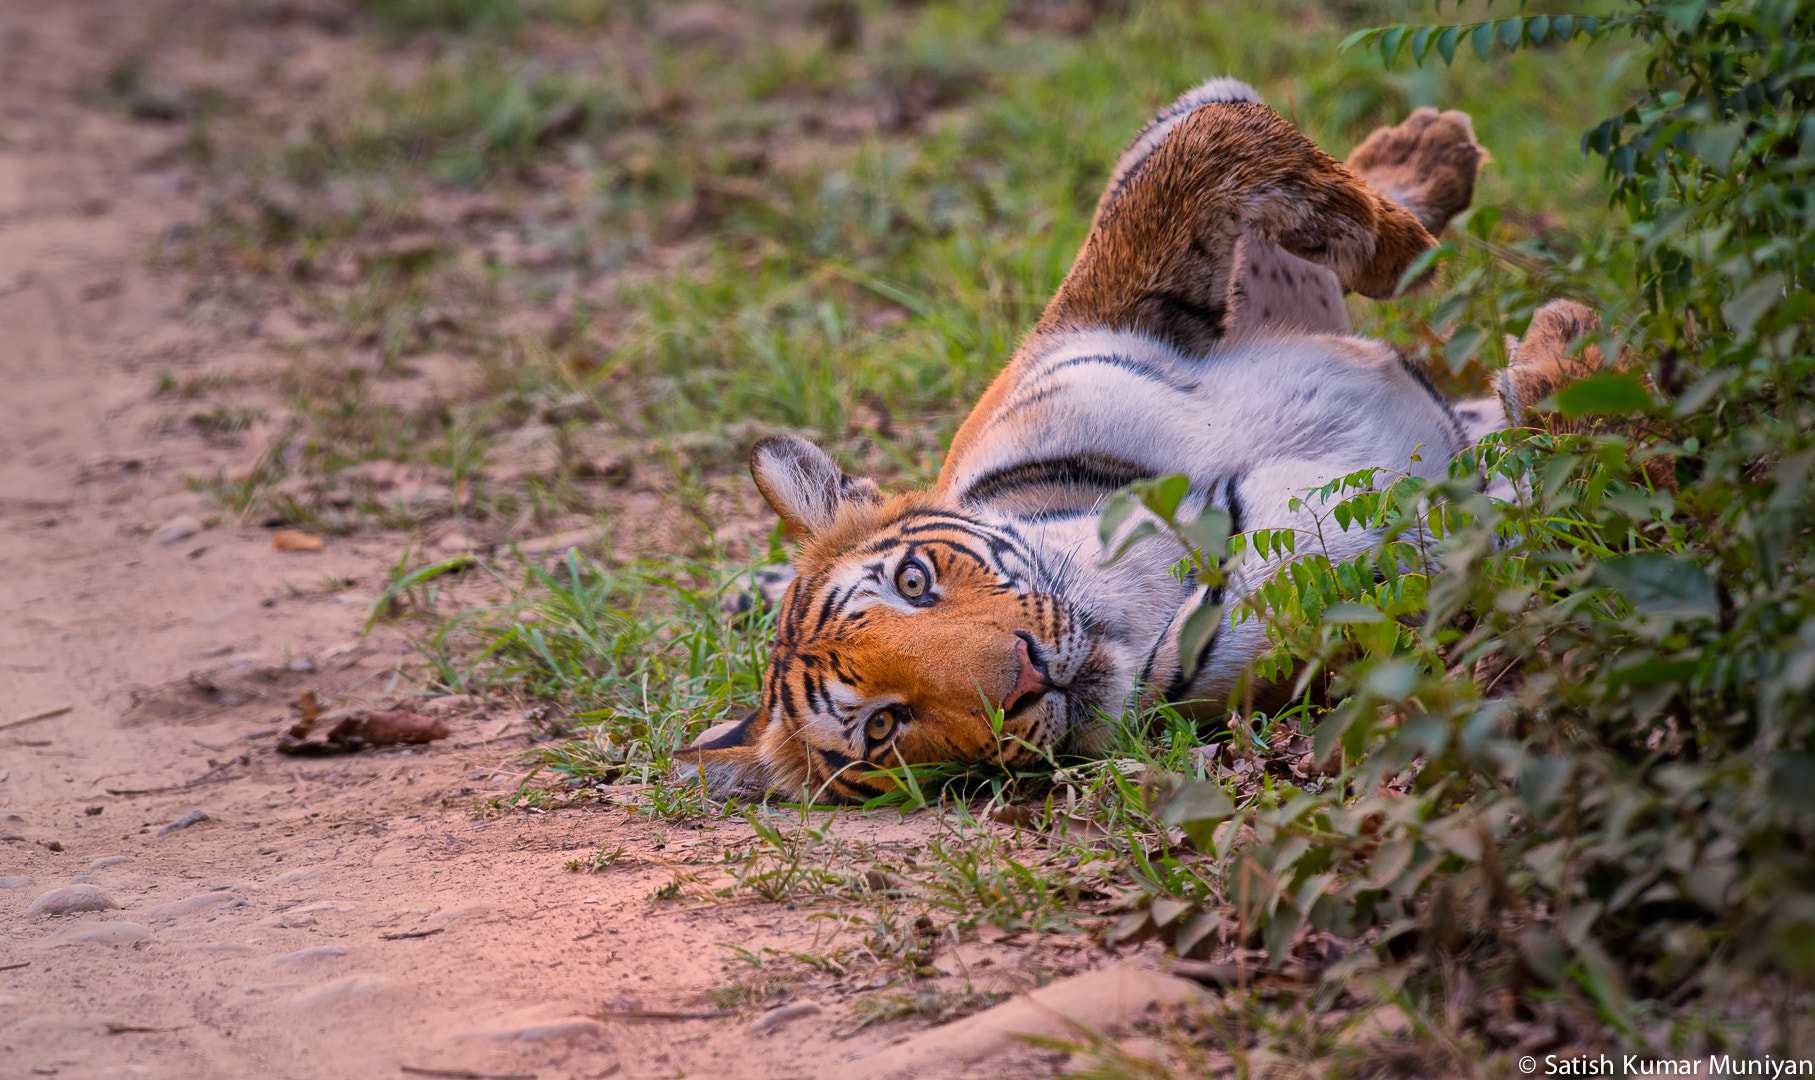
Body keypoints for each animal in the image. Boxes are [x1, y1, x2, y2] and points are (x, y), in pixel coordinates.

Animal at [682, 77, 1616, 802]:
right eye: (884, 728)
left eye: (914, 581)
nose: (1024, 676)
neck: (1131, 593)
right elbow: (1577, 488)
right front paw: (1568, 355)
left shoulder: (1100, 319)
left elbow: (1204, 143)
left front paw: (1412, 254)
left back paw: (1428, 151)